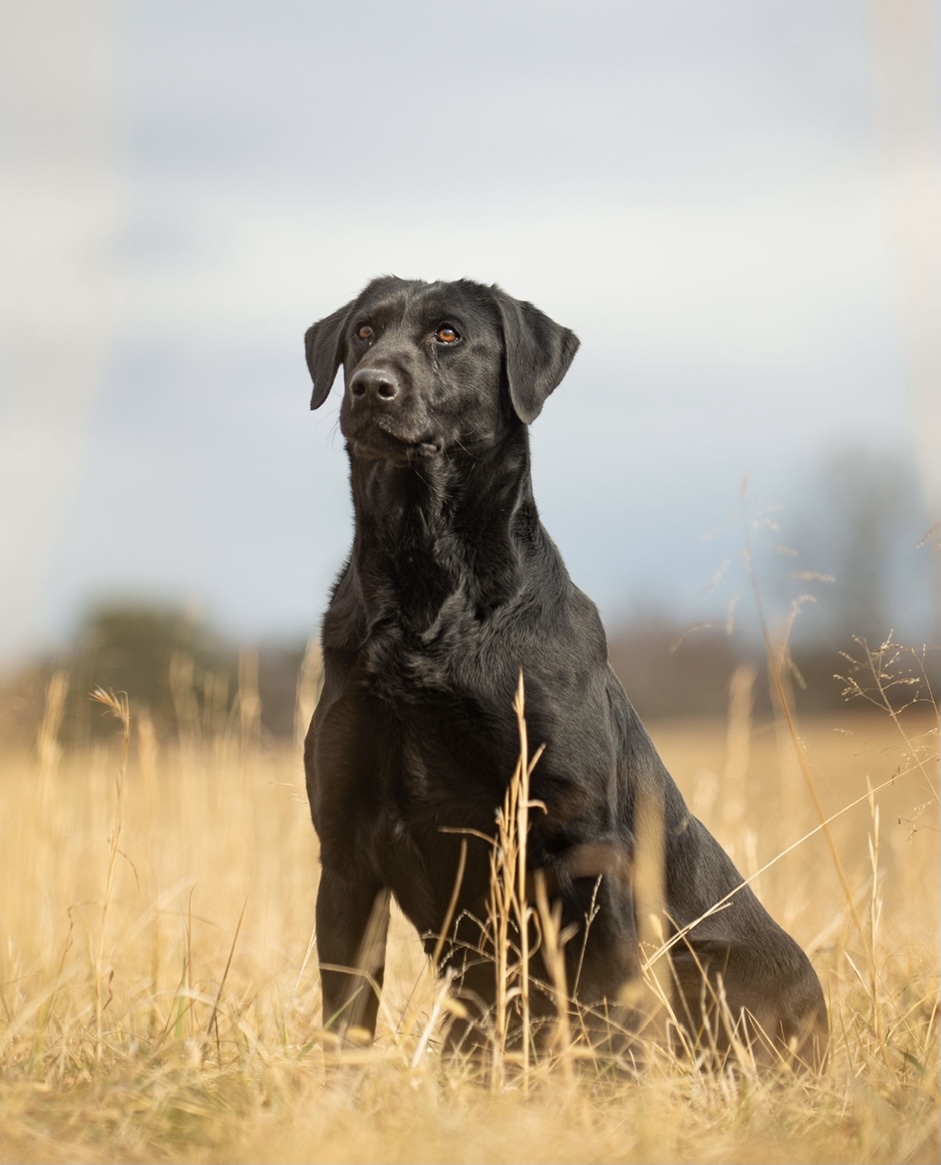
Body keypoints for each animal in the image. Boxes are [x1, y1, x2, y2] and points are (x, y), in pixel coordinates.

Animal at [305, 277, 829, 1067]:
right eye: (363, 331)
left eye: (448, 335)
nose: (371, 385)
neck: (428, 585)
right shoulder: (344, 854)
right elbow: (346, 1019)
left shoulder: (583, 844)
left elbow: (610, 1008)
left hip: (699, 960)